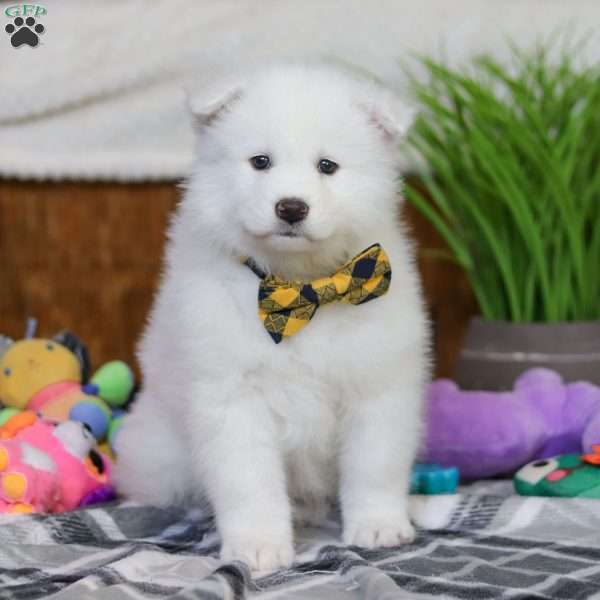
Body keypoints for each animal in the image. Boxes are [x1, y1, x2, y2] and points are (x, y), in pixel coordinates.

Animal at [115, 62, 428, 572]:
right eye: (260, 162)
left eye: (327, 166)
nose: (291, 207)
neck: (302, 288)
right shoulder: (231, 398)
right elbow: (249, 481)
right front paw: (258, 545)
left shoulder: (377, 387)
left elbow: (374, 465)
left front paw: (379, 525)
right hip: (160, 454)